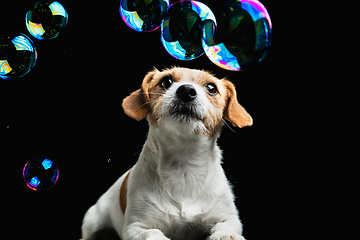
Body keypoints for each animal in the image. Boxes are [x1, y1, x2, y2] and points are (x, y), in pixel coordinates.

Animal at [81, 66, 253, 240]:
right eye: (166, 81)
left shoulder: (229, 219)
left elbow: (225, 229)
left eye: (212, 88)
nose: (186, 90)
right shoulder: (135, 227)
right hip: (92, 221)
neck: (184, 164)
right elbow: (153, 233)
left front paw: (225, 235)